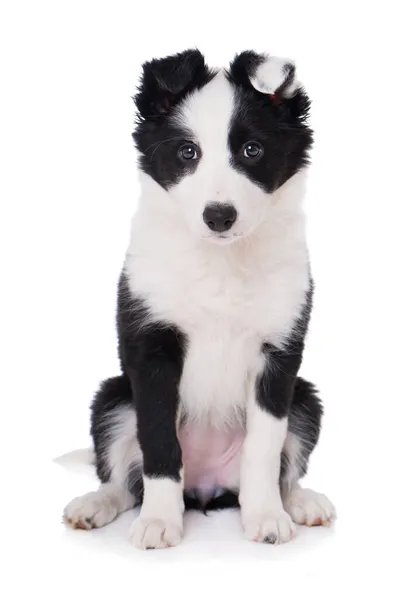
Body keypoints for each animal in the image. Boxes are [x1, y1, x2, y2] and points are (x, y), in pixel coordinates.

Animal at [64, 50, 336, 548]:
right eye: (187, 152)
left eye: (252, 150)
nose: (219, 216)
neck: (221, 260)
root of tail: (207, 488)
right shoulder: (151, 347)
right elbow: (158, 442)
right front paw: (159, 522)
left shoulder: (279, 354)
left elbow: (264, 448)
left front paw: (266, 517)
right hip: (112, 396)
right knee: (121, 481)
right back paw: (94, 506)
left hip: (306, 399)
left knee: (286, 470)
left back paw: (299, 502)